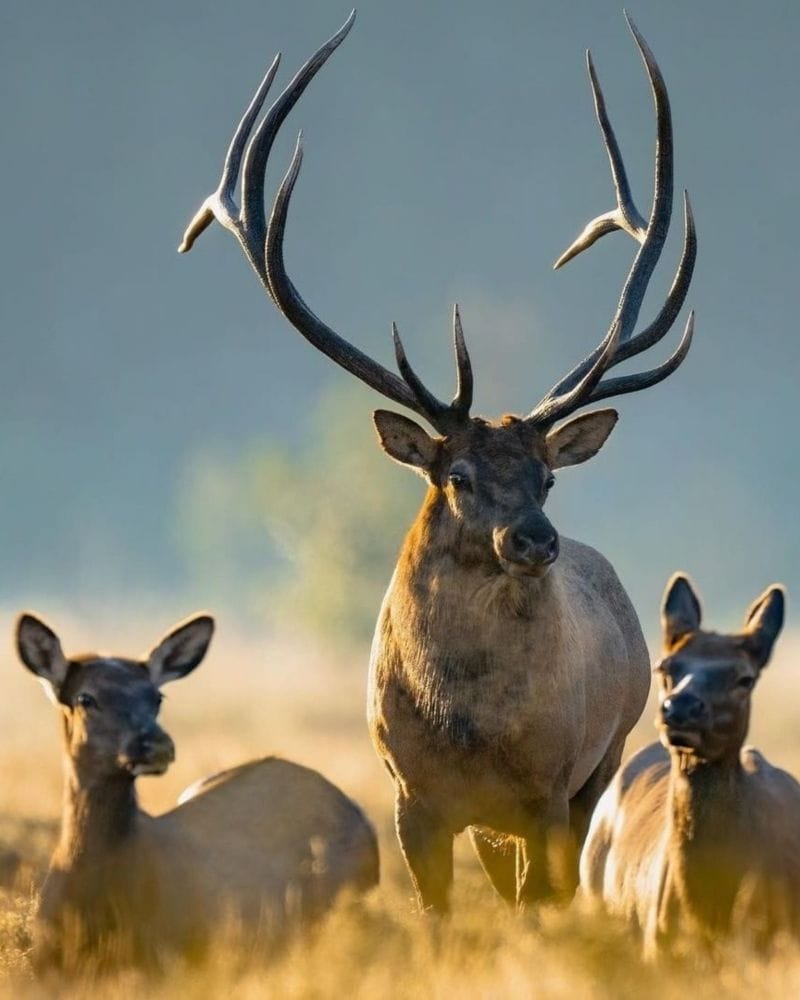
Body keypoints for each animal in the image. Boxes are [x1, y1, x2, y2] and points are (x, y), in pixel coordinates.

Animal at [179, 11, 696, 912]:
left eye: (548, 477)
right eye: (458, 477)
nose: (535, 541)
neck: (468, 733)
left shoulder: (548, 792)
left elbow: (540, 902)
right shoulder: (409, 797)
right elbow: (436, 912)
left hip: (602, 760)